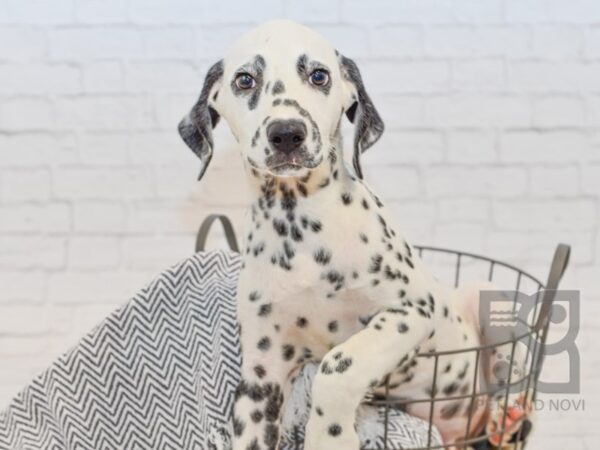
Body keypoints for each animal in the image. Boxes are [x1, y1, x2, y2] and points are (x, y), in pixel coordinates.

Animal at [178, 20, 520, 450]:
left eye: (319, 75)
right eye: (244, 80)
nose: (286, 133)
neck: (300, 226)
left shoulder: (410, 311)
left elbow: (338, 364)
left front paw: (329, 436)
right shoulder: (261, 376)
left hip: (489, 301)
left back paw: (507, 415)